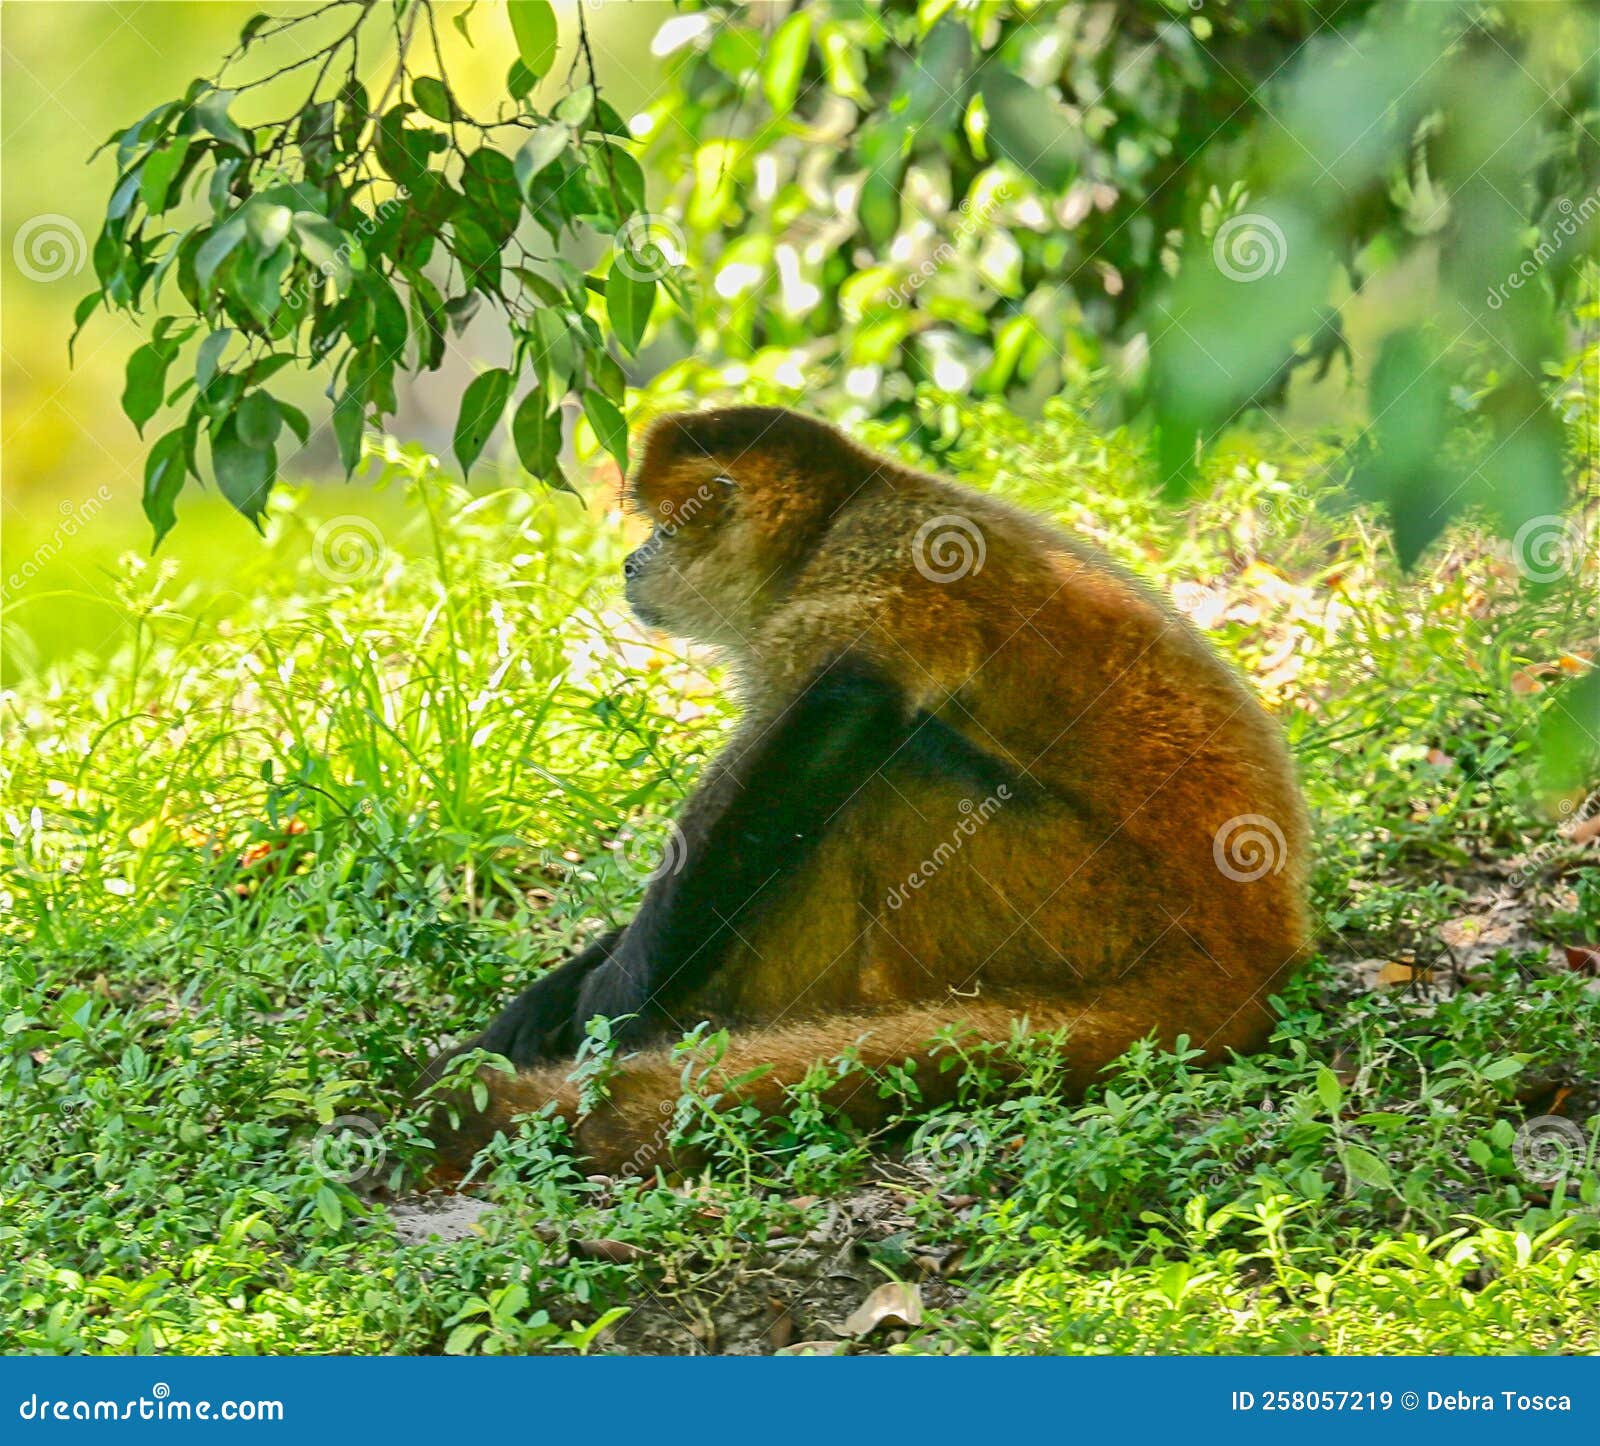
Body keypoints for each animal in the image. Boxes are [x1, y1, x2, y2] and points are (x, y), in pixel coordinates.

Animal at [419, 403, 1305, 1177]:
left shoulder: (879, 557)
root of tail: (1250, 952)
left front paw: (610, 1012)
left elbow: (849, 707)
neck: (855, 499)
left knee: (891, 762)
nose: (632, 563)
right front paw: (544, 1008)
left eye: (665, 527)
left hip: (1081, 907)